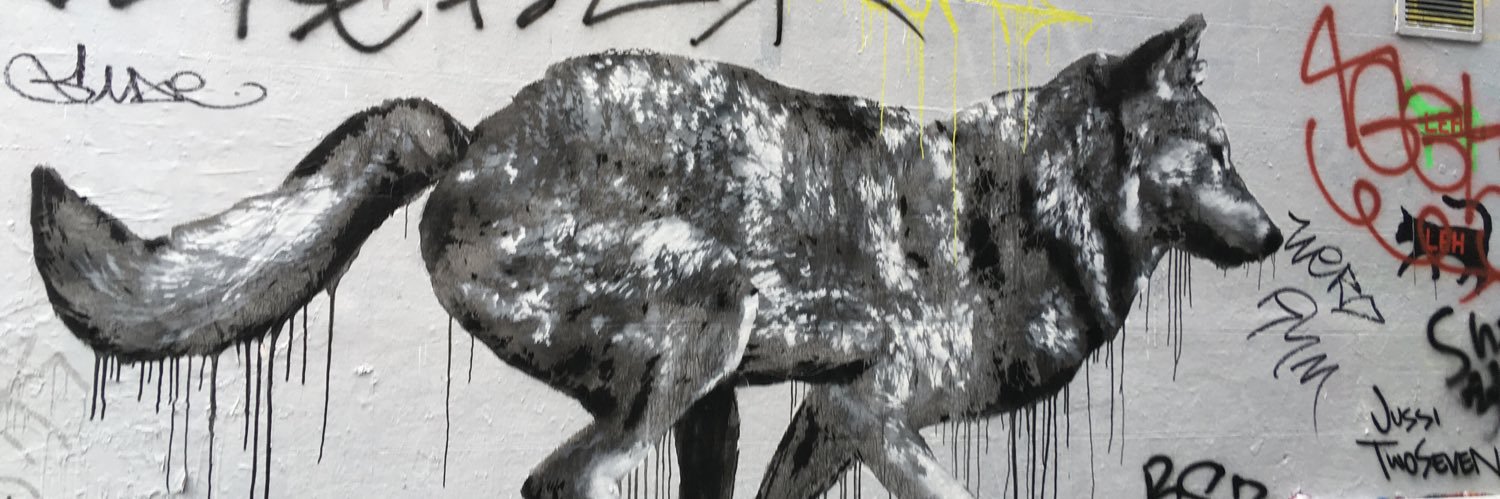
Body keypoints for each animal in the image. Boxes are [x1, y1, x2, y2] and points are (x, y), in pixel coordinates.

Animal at [30, 14, 1280, 499]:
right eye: (1217, 154)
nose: (1275, 236)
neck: (1028, 207)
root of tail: (479, 138)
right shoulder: (875, 410)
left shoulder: (828, 416)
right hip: (709, 335)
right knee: (560, 479)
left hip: (712, 402)